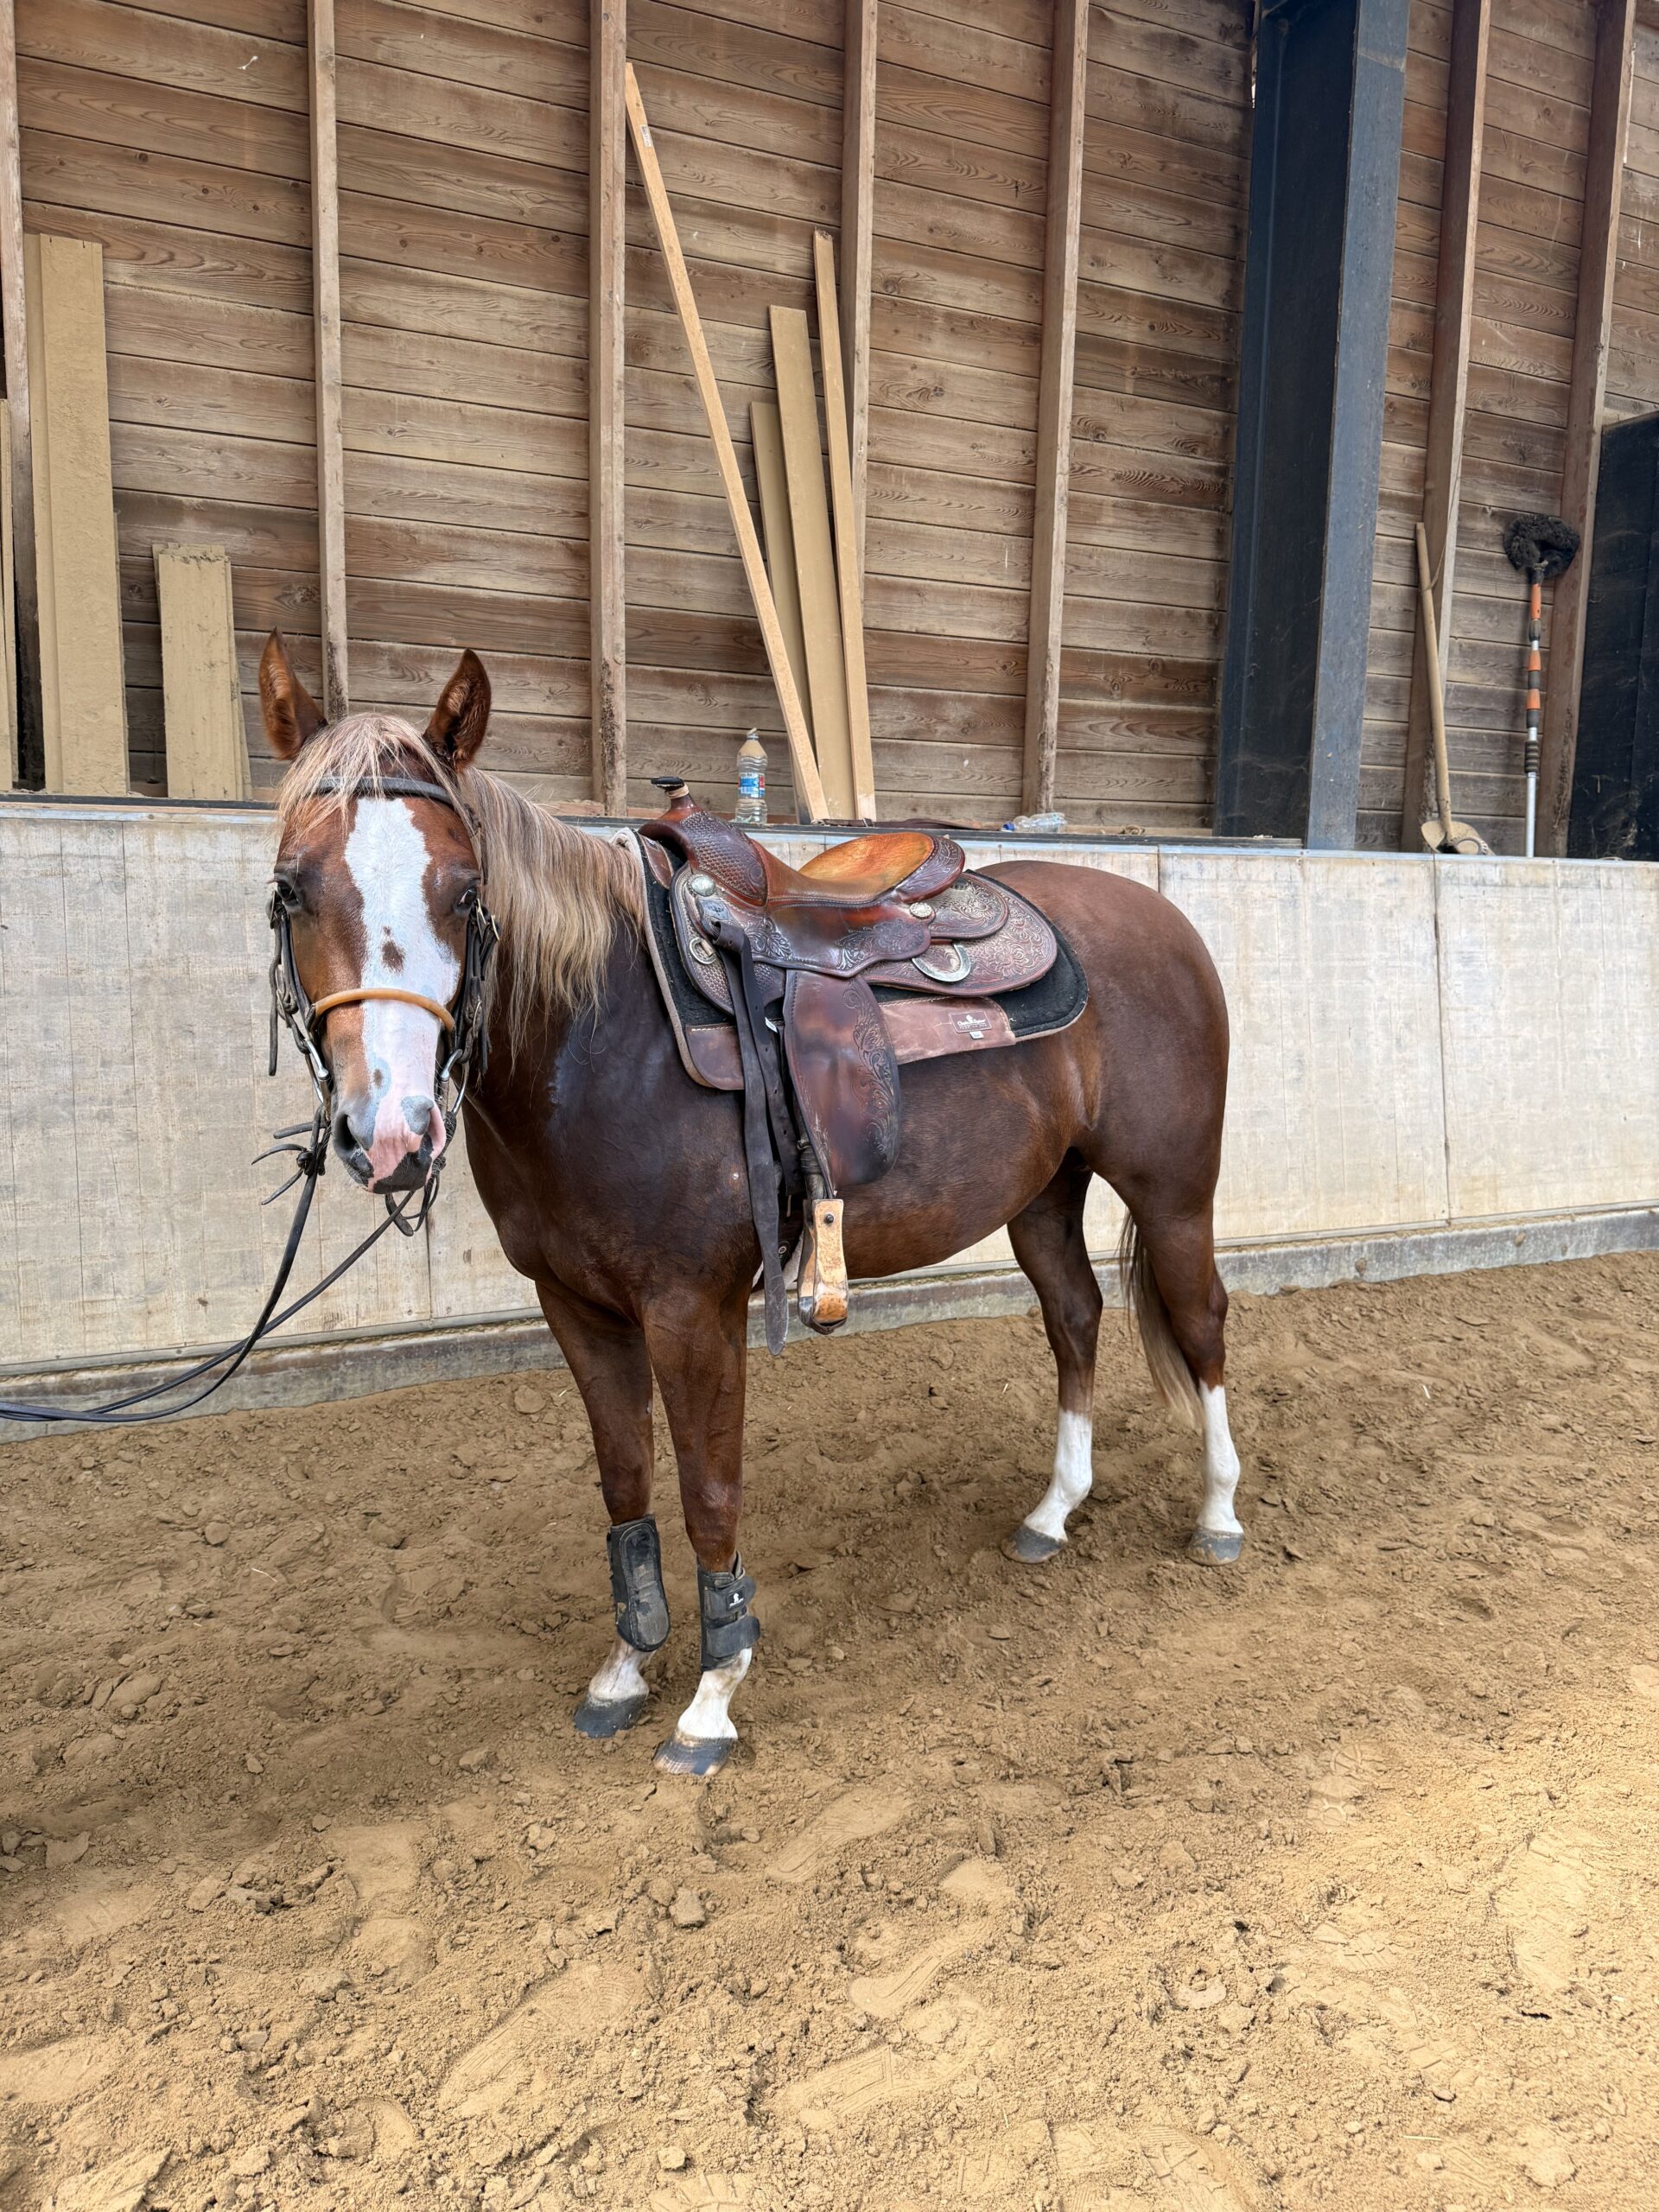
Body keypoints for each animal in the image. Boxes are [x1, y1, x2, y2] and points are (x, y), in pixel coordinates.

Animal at [258, 630, 1242, 1776]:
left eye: (464, 891)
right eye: (291, 887)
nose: (393, 1132)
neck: (603, 1036)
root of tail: (1163, 916)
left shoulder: (692, 1307)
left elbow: (707, 1488)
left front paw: (713, 1693)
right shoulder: (576, 1306)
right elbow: (626, 1479)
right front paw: (625, 1667)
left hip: (1172, 1187)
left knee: (1200, 1319)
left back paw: (1220, 1513)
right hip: (1043, 1192)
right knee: (1074, 1317)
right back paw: (1052, 1513)